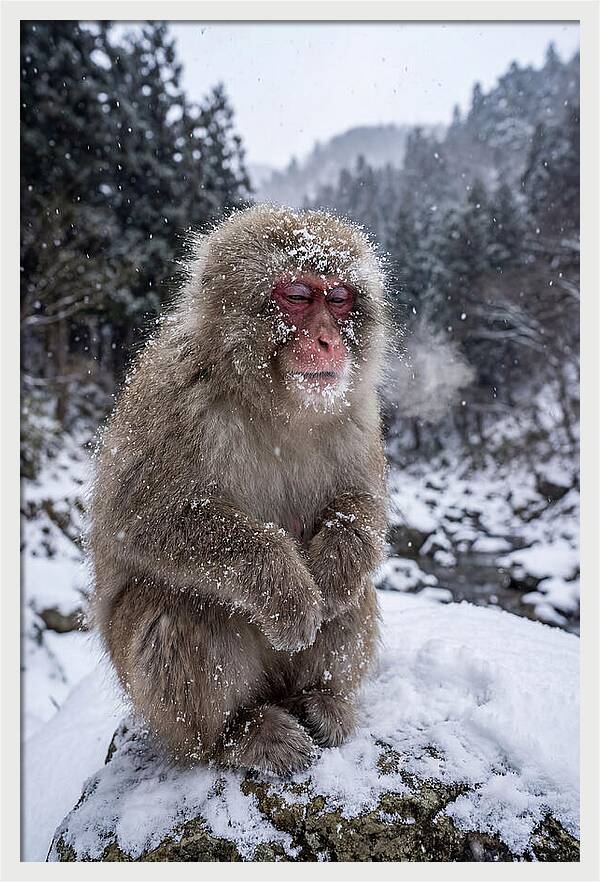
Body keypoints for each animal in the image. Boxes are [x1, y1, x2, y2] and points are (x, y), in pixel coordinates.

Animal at [89, 204, 389, 774]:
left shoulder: (357, 412)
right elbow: (138, 517)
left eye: (339, 298)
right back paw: (236, 735)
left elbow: (362, 503)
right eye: (298, 295)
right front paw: (288, 588)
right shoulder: (174, 396)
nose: (328, 340)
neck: (275, 403)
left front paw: (334, 569)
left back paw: (320, 700)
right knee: (177, 606)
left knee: (355, 597)